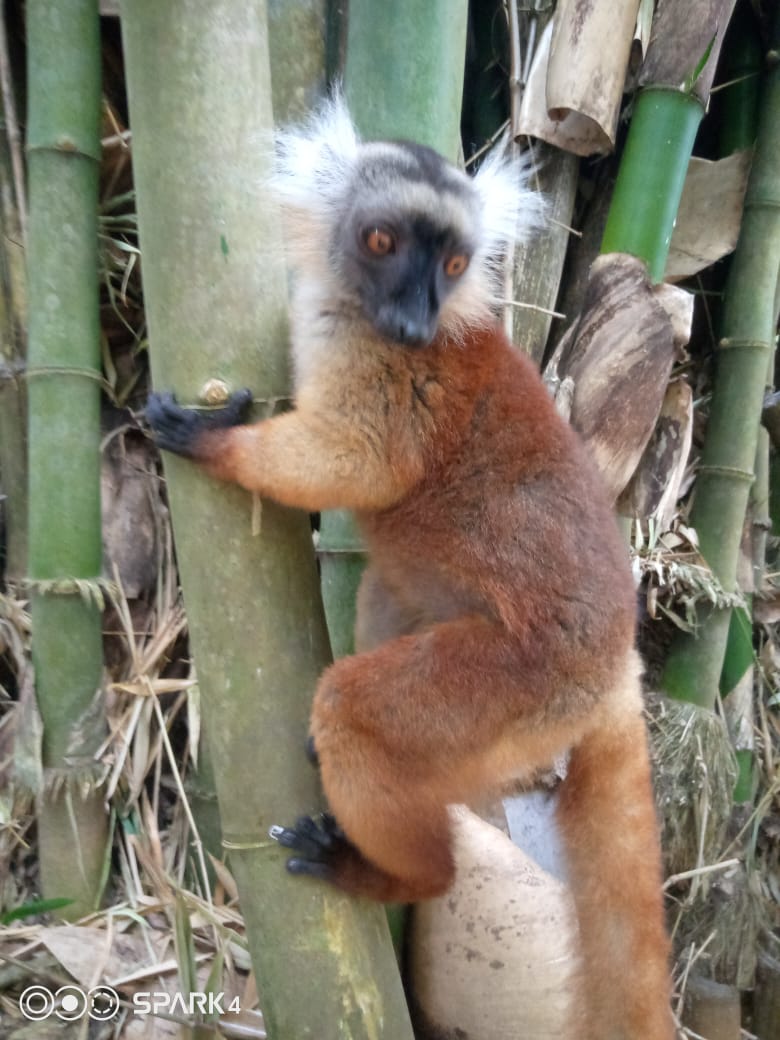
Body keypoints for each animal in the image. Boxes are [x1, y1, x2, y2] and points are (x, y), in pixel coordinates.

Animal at [146, 97, 674, 1040]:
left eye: (455, 264)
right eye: (383, 242)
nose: (417, 320)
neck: (356, 313)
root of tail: (618, 662)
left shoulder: (398, 379)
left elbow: (359, 463)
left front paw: (212, 440)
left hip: (525, 685)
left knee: (360, 711)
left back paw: (395, 874)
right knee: (385, 595)